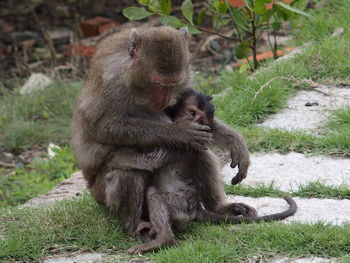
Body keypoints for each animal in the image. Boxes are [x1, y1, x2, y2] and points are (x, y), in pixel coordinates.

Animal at [72, 26, 249, 237]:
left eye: (172, 85)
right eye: (157, 83)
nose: (164, 100)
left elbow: (203, 122)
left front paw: (235, 142)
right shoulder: (112, 80)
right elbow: (100, 128)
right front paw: (180, 133)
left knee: (199, 151)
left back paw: (218, 208)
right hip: (103, 197)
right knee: (128, 171)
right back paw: (134, 226)